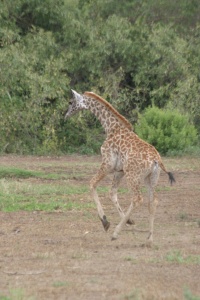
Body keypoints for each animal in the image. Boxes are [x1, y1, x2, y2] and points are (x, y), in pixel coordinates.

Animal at [64, 89, 175, 246]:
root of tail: (156, 160)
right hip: (150, 178)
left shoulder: (107, 164)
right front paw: (128, 221)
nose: (66, 115)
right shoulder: (120, 171)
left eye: (70, 102)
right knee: (152, 201)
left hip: (133, 176)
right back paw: (149, 239)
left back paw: (116, 234)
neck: (111, 127)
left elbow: (92, 184)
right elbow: (112, 193)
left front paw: (105, 222)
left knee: (137, 199)